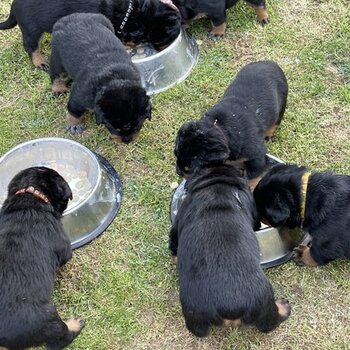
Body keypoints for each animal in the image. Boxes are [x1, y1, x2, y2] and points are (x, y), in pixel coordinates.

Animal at [0, 0, 180, 70]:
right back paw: (40, 62)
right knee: (31, 46)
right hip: (31, 29)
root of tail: (13, 6)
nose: (178, 18)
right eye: (159, 41)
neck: (129, 12)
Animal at [50, 13, 151, 142]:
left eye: (138, 127)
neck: (115, 78)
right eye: (115, 128)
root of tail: (67, 18)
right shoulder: (79, 95)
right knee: (56, 74)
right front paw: (74, 125)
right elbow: (74, 110)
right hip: (57, 57)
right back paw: (58, 88)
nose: (127, 140)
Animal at [168, 165, 292, 338]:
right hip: (265, 300)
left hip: (193, 312)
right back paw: (283, 308)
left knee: (197, 330)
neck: (216, 185)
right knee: (269, 323)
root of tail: (230, 308)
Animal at [174, 61, 288, 190]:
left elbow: (252, 177)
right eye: (175, 153)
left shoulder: (257, 157)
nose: (178, 171)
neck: (219, 126)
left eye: (192, 169)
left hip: (282, 103)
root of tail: (269, 62)